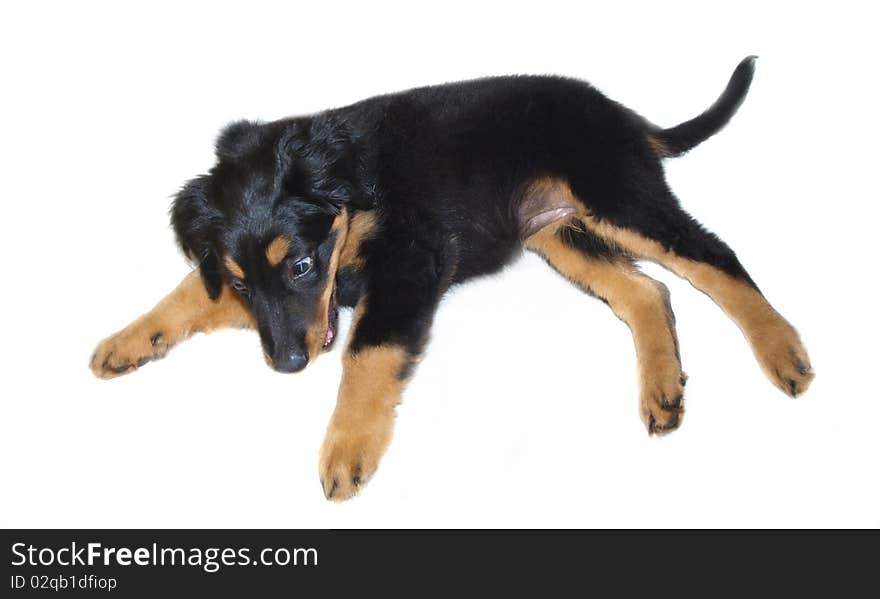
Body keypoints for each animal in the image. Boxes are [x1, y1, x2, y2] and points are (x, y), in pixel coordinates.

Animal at [89, 58, 812, 504]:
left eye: (300, 264)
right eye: (240, 284)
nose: (290, 365)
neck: (353, 187)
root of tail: (625, 117)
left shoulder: (409, 264)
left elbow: (367, 352)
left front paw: (348, 448)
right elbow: (190, 290)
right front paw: (125, 343)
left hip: (620, 198)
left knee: (714, 257)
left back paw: (783, 353)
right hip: (560, 233)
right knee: (647, 291)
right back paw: (662, 390)